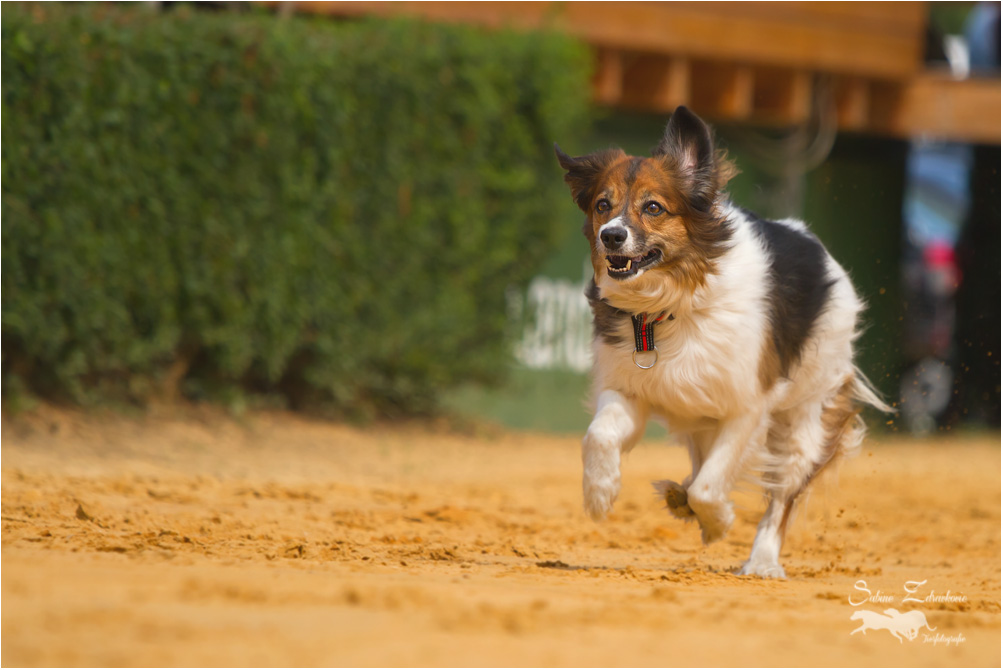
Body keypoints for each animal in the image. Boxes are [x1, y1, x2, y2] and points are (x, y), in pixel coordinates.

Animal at [553, 107, 890, 577]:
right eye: (603, 205)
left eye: (653, 208)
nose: (611, 236)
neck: (671, 305)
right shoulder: (630, 390)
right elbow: (599, 435)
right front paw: (599, 493)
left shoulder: (747, 409)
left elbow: (711, 487)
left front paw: (719, 521)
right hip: (700, 416)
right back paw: (677, 497)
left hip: (806, 416)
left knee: (780, 497)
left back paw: (762, 560)